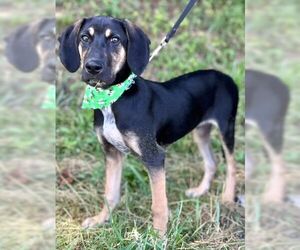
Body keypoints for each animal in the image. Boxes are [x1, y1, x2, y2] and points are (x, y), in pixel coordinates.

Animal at [58, 16, 239, 236]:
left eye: (115, 39)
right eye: (85, 37)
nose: (93, 67)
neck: (113, 97)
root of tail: (226, 76)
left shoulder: (154, 157)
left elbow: (159, 205)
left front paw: (158, 236)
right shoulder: (112, 152)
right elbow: (110, 193)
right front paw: (100, 220)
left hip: (226, 127)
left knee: (232, 165)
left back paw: (228, 199)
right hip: (200, 131)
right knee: (211, 162)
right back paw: (200, 190)